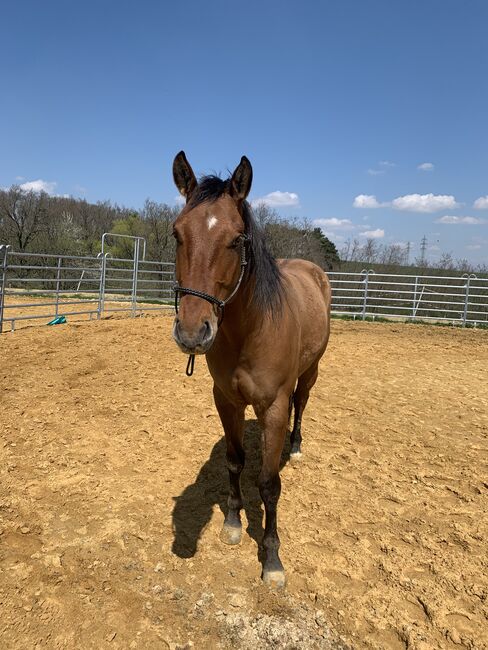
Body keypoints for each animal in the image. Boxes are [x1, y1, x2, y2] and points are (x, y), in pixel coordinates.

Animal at [171, 152, 332, 588]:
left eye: (236, 239)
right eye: (177, 235)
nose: (192, 331)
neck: (249, 331)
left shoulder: (273, 406)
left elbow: (269, 484)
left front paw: (272, 560)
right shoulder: (226, 400)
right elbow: (234, 461)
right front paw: (231, 523)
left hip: (311, 372)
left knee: (301, 403)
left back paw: (295, 446)